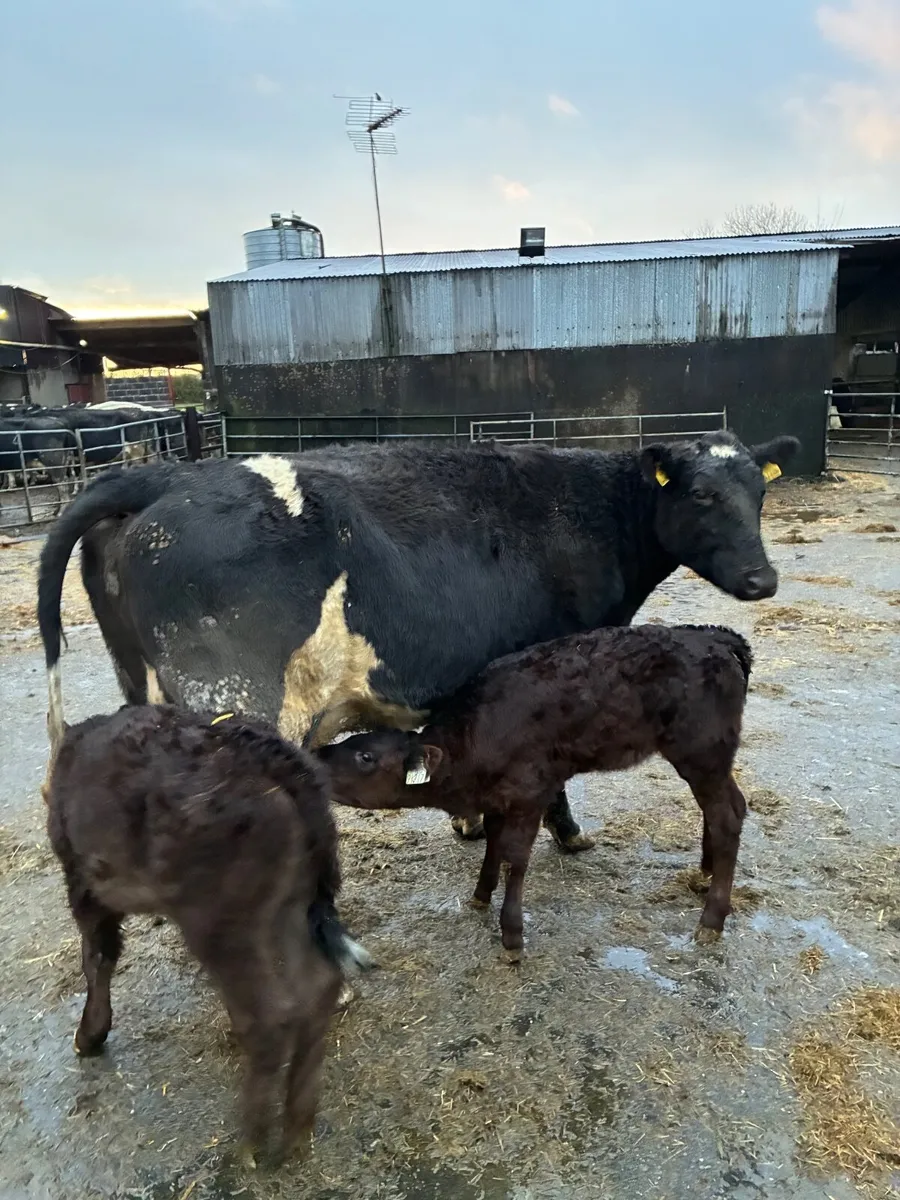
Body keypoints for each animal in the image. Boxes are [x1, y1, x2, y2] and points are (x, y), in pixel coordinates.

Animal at [37, 429, 799, 848]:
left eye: (760, 495)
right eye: (701, 495)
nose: (762, 579)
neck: (592, 511)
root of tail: (168, 472)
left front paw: (469, 824)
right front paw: (567, 835)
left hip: (141, 682)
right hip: (240, 700)